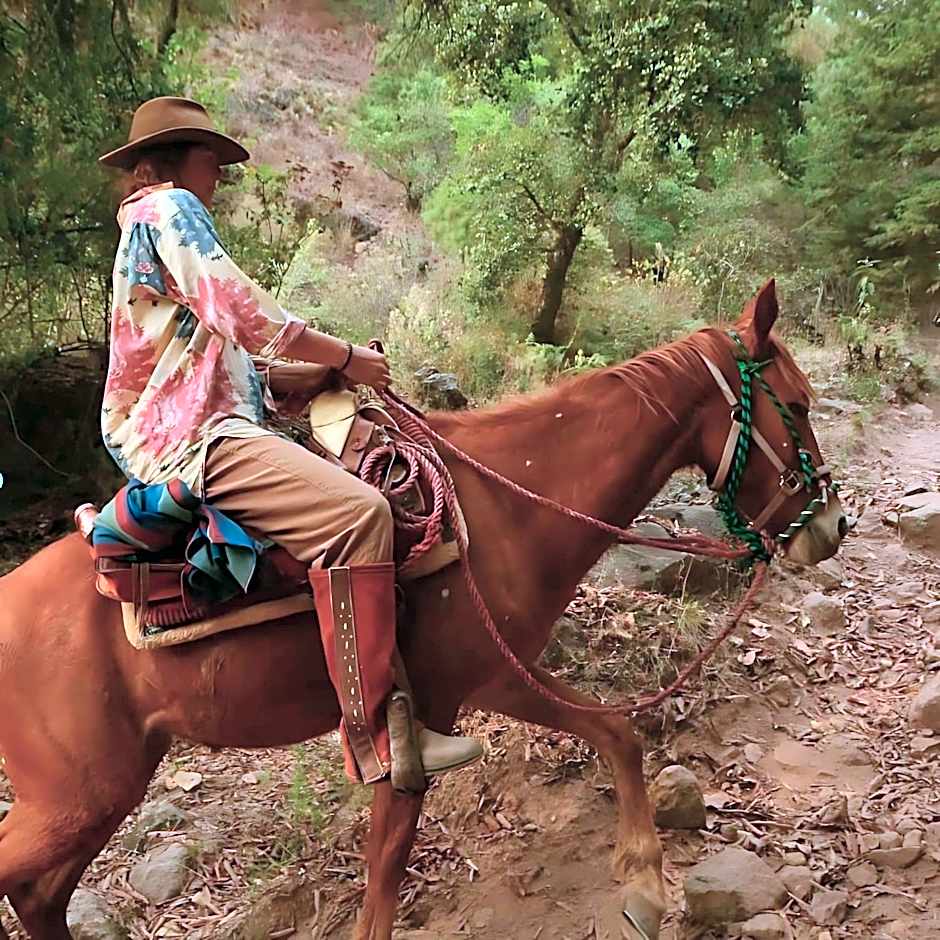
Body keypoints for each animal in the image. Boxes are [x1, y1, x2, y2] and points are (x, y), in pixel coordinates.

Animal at [0, 280, 846, 939]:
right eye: (798, 406)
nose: (835, 527)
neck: (504, 505)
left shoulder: (494, 678)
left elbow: (616, 733)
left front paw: (641, 884)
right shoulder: (425, 714)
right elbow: (386, 869)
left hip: (96, 793)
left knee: (40, 896)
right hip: (80, 794)